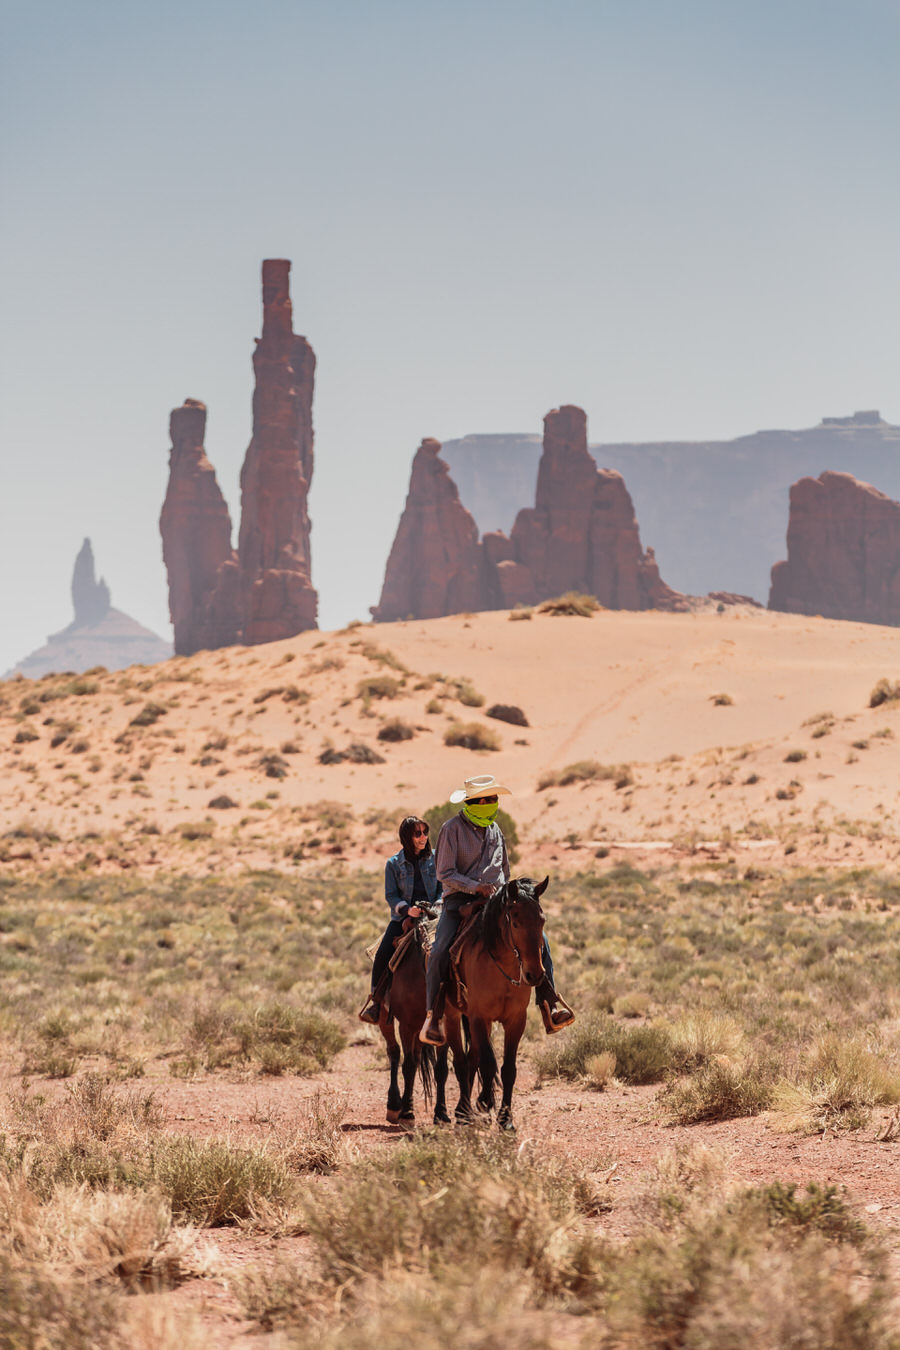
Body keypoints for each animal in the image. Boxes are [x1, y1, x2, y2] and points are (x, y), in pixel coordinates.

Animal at [377, 912, 450, 1123]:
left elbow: (441, 1069)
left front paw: (441, 1113)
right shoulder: (406, 1026)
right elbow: (408, 1066)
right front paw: (407, 1112)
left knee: (416, 1057)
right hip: (385, 1018)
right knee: (394, 1052)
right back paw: (394, 1105)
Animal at [442, 874, 550, 1128]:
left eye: (542, 921)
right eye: (516, 923)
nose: (535, 975)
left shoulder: (515, 1020)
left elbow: (508, 1069)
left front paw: (505, 1119)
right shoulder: (479, 1017)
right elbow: (489, 1064)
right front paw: (486, 1104)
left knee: (472, 1059)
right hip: (452, 1016)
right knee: (461, 1062)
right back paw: (463, 1111)